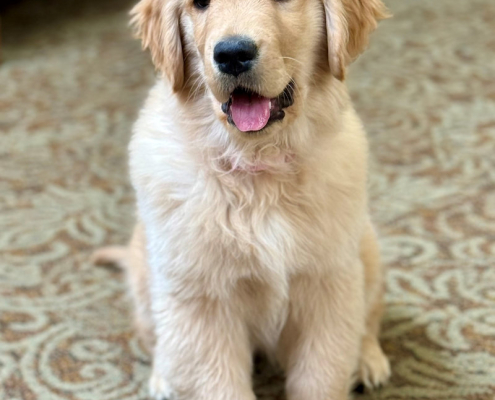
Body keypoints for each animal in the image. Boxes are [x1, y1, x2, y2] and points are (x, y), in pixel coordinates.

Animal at [92, 0, 391, 399]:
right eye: (199, 4)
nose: (232, 54)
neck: (257, 165)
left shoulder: (328, 284)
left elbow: (322, 376)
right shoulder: (202, 300)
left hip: (366, 248)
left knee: (369, 316)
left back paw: (369, 359)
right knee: (155, 336)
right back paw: (163, 377)